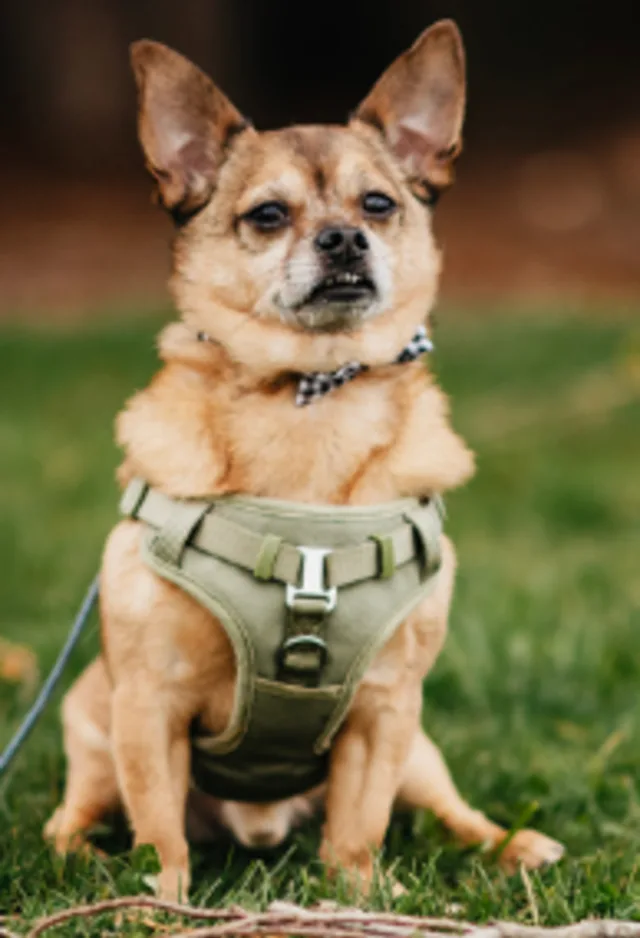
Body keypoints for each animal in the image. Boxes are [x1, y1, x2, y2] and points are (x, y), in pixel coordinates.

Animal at [45, 23, 564, 900]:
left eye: (378, 205)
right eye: (267, 215)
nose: (344, 237)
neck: (310, 397)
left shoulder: (386, 710)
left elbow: (358, 828)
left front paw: (360, 896)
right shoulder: (148, 705)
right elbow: (159, 832)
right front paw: (163, 904)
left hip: (421, 755)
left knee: (444, 813)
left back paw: (510, 845)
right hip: (91, 726)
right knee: (80, 811)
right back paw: (84, 857)